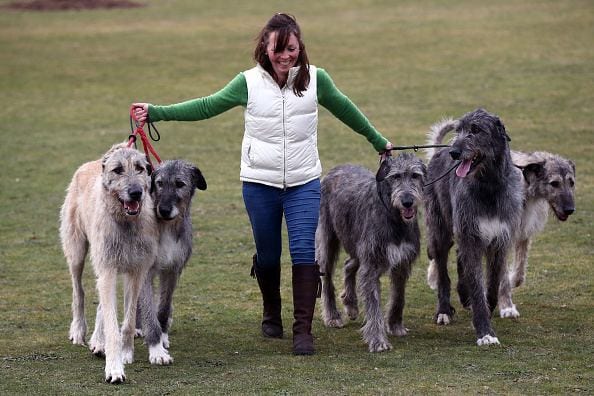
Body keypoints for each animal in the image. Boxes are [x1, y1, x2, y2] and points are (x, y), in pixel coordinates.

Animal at [136, 159, 206, 364]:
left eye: (180, 184)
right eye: (159, 183)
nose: (164, 210)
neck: (167, 226)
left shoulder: (173, 270)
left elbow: (163, 308)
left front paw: (162, 336)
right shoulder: (145, 271)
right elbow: (148, 311)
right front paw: (156, 349)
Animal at [314, 152, 426, 352]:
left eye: (415, 175)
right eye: (395, 176)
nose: (407, 201)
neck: (394, 217)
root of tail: (336, 168)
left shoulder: (402, 262)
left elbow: (398, 296)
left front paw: (395, 325)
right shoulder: (372, 265)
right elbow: (373, 305)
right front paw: (378, 340)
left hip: (358, 243)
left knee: (349, 264)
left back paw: (350, 303)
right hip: (328, 239)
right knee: (326, 277)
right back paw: (333, 315)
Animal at [424, 109, 520, 346]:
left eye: (476, 130)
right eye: (459, 130)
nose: (454, 153)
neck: (489, 187)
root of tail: (438, 153)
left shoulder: (499, 241)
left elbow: (492, 284)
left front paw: (488, 308)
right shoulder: (471, 238)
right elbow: (477, 285)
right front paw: (485, 331)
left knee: (460, 260)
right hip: (440, 231)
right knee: (443, 273)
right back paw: (443, 310)